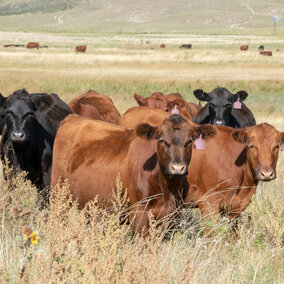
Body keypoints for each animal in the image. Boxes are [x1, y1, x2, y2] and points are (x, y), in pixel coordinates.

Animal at [51, 114, 215, 234]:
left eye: (189, 141)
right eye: (161, 140)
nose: (177, 167)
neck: (166, 189)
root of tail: (72, 117)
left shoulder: (171, 215)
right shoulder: (139, 214)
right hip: (59, 196)